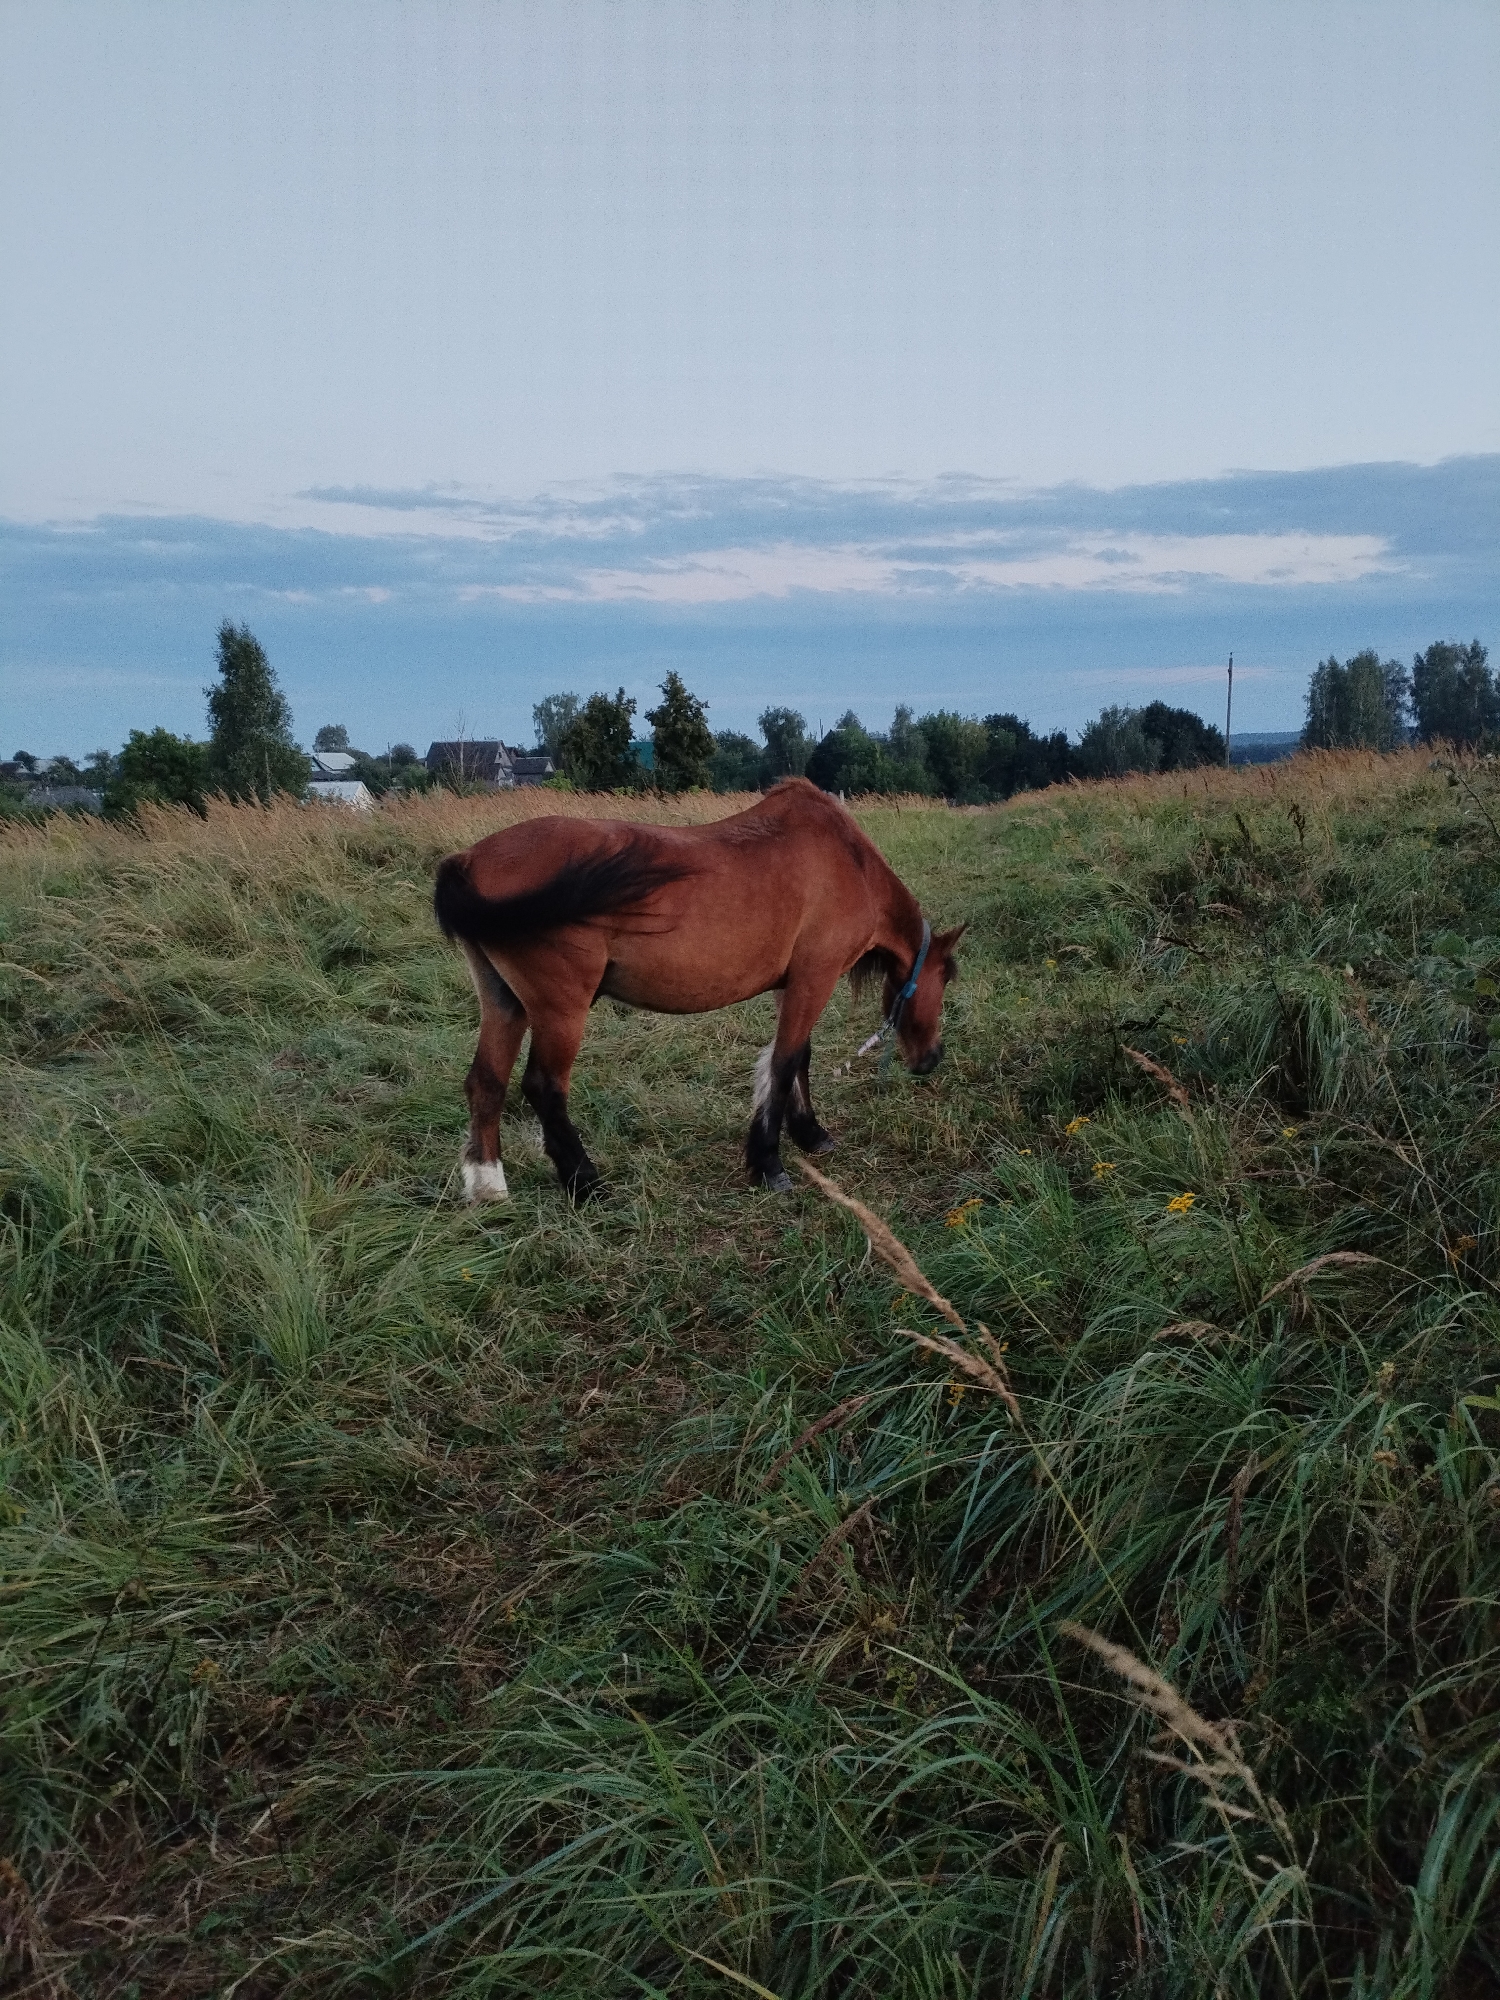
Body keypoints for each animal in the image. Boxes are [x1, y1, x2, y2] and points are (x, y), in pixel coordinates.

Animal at [433, 778, 963, 1202]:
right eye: (946, 978)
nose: (931, 1058)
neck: (848, 864)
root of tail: (468, 860)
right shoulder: (815, 978)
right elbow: (785, 1062)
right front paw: (769, 1164)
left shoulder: (794, 984)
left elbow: (797, 1059)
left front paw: (810, 1134)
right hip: (560, 1010)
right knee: (544, 1088)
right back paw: (586, 1183)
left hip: (505, 1002)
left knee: (486, 1082)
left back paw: (488, 1186)